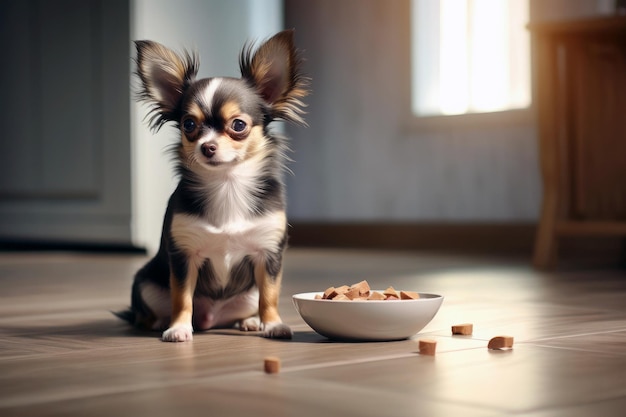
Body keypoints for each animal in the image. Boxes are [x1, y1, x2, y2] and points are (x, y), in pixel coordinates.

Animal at [116, 30, 308, 342]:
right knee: (146, 312)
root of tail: (211, 318)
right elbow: (182, 298)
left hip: (247, 293)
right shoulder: (183, 256)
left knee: (252, 303)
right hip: (146, 283)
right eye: (188, 125)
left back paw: (250, 321)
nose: (207, 147)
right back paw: (160, 322)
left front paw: (273, 325)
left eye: (238, 125)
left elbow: (270, 295)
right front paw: (179, 328)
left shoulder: (268, 255)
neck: (227, 185)